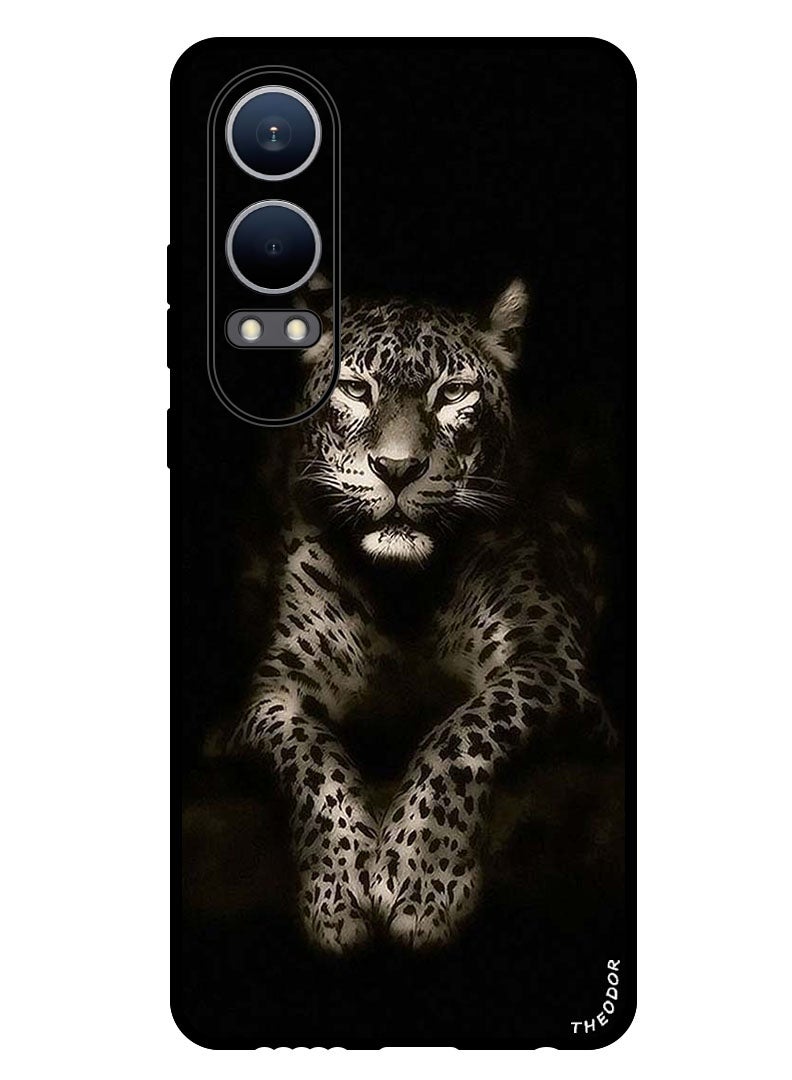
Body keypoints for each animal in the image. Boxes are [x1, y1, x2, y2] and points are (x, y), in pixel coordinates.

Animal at [227, 276, 616, 953]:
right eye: (356, 390)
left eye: (452, 393)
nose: (398, 468)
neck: (402, 593)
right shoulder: (273, 692)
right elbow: (311, 757)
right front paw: (337, 890)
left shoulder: (552, 662)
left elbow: (462, 731)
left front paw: (420, 879)